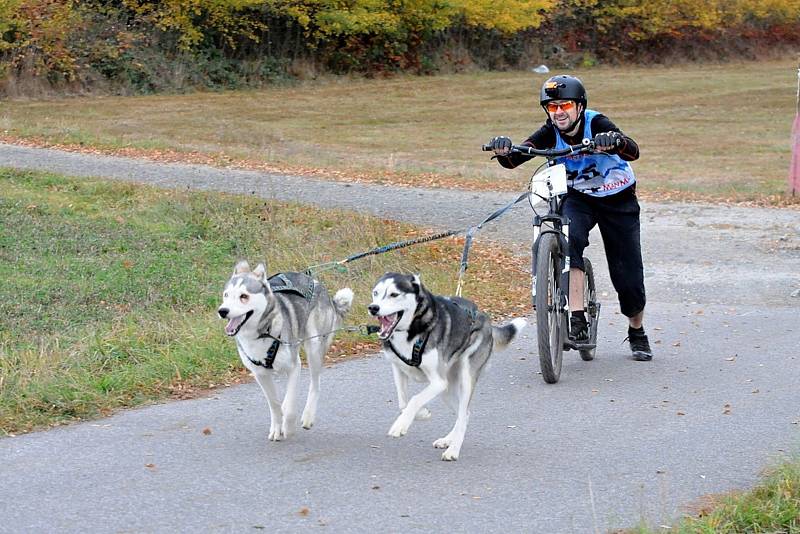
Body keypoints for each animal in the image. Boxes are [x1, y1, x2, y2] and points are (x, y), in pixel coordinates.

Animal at [217, 262, 352, 442]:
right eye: (226, 295)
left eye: (243, 296)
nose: (222, 311)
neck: (263, 333)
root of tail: (317, 283)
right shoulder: (260, 375)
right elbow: (274, 404)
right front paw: (277, 427)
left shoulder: (294, 366)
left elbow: (291, 407)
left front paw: (288, 427)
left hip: (314, 346)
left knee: (315, 384)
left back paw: (308, 416)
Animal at [368, 274, 524, 462]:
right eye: (375, 293)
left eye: (394, 294)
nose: (373, 308)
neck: (411, 331)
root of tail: (484, 318)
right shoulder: (399, 370)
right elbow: (403, 403)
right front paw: (420, 413)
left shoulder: (438, 382)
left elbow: (415, 399)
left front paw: (401, 425)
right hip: (447, 389)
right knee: (464, 414)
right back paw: (448, 440)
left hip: (464, 379)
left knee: (463, 414)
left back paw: (453, 450)